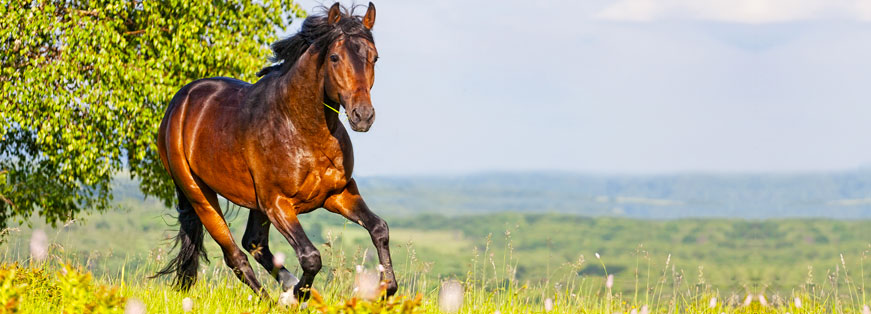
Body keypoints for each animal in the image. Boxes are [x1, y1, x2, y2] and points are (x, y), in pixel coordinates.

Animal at [154, 2, 396, 300]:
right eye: (335, 57)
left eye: (374, 58)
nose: (362, 116)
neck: (302, 128)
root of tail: (178, 103)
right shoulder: (278, 203)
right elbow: (311, 257)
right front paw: (300, 295)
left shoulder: (338, 193)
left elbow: (379, 228)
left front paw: (387, 288)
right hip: (199, 194)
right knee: (235, 255)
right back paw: (275, 299)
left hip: (254, 202)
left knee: (254, 243)